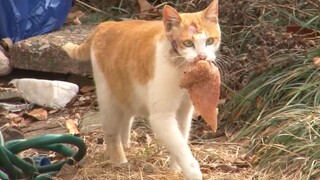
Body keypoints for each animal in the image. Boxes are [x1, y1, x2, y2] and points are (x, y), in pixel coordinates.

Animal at [63, 1, 221, 179]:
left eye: (209, 41)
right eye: (188, 43)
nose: (202, 57)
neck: (181, 68)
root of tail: (106, 24)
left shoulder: (184, 113)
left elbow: (181, 138)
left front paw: (175, 169)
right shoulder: (162, 118)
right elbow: (180, 146)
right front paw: (193, 172)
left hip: (127, 93)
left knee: (126, 117)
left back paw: (126, 145)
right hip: (108, 99)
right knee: (111, 134)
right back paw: (120, 162)